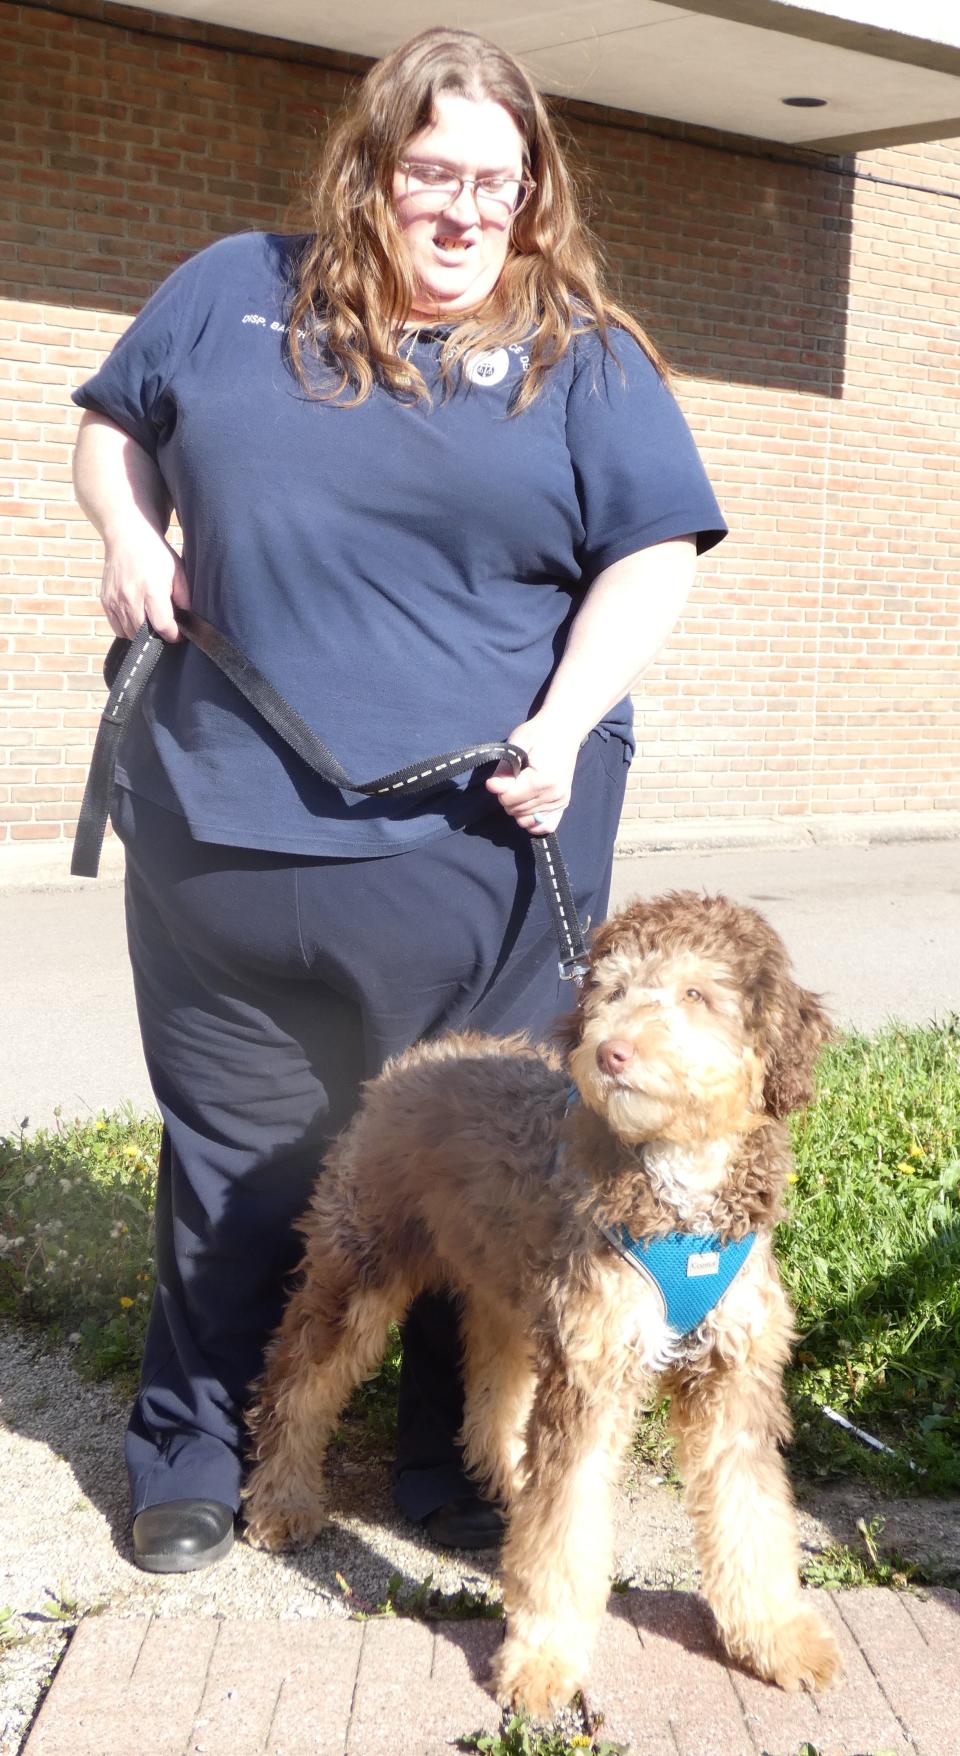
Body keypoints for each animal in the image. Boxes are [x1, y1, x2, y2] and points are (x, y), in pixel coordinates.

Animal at [243, 885, 845, 1706]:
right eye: (612, 991)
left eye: (697, 994)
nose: (610, 1052)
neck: (680, 1198)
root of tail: (414, 1060)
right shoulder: (594, 1370)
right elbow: (564, 1532)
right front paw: (542, 1660)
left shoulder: (733, 1376)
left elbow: (750, 1513)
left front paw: (777, 1636)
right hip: (360, 1266)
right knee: (298, 1383)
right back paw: (280, 1500)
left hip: (513, 1291)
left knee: (492, 1388)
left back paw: (507, 1477)